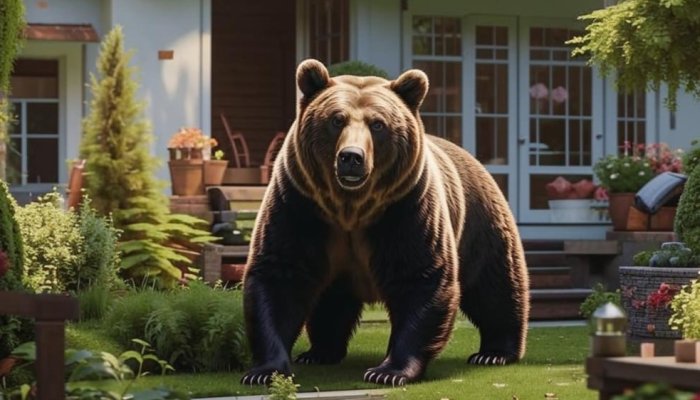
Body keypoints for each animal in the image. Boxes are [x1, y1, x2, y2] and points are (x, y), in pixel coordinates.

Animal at [240, 59, 529, 386]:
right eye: (336, 120)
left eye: (378, 124)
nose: (351, 157)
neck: (350, 209)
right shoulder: (300, 205)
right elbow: (279, 274)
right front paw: (265, 371)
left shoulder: (407, 209)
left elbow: (420, 277)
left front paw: (388, 371)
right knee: (331, 301)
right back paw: (319, 352)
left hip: (480, 223)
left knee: (495, 285)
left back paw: (494, 352)